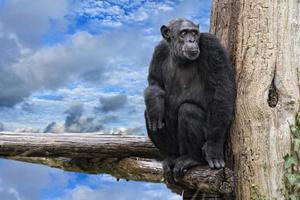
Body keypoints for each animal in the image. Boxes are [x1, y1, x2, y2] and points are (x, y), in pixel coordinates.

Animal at [144, 18, 236, 178]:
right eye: (183, 33)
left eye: (194, 33)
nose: (192, 40)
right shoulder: (159, 50)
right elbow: (155, 83)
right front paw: (155, 105)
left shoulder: (212, 45)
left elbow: (221, 88)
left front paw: (213, 148)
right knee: (149, 115)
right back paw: (171, 156)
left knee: (188, 110)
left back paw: (192, 158)